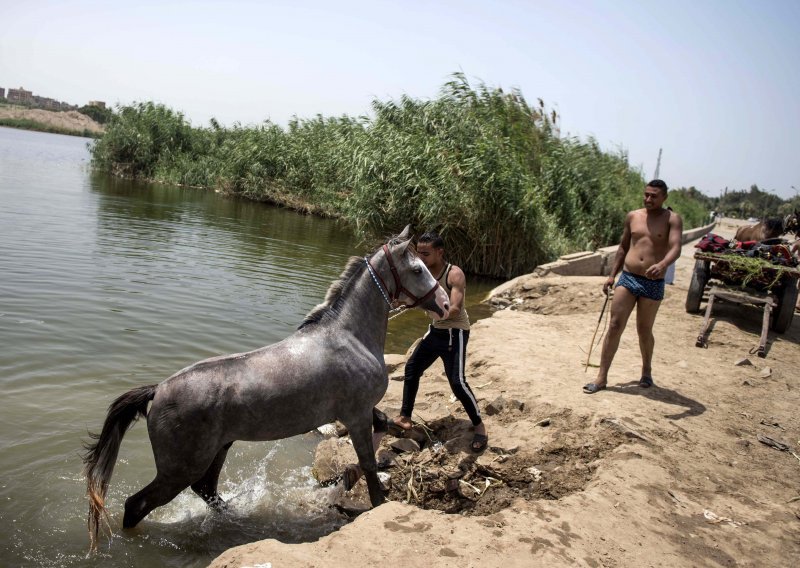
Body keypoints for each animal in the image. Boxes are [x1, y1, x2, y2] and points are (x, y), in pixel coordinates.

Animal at [81, 226, 450, 544]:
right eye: (418, 269)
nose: (446, 303)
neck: (349, 337)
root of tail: (158, 390)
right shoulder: (356, 414)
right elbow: (370, 463)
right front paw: (373, 498)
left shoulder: (359, 412)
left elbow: (383, 426)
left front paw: (346, 477)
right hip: (179, 470)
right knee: (136, 505)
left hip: (216, 450)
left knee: (206, 490)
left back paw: (238, 516)